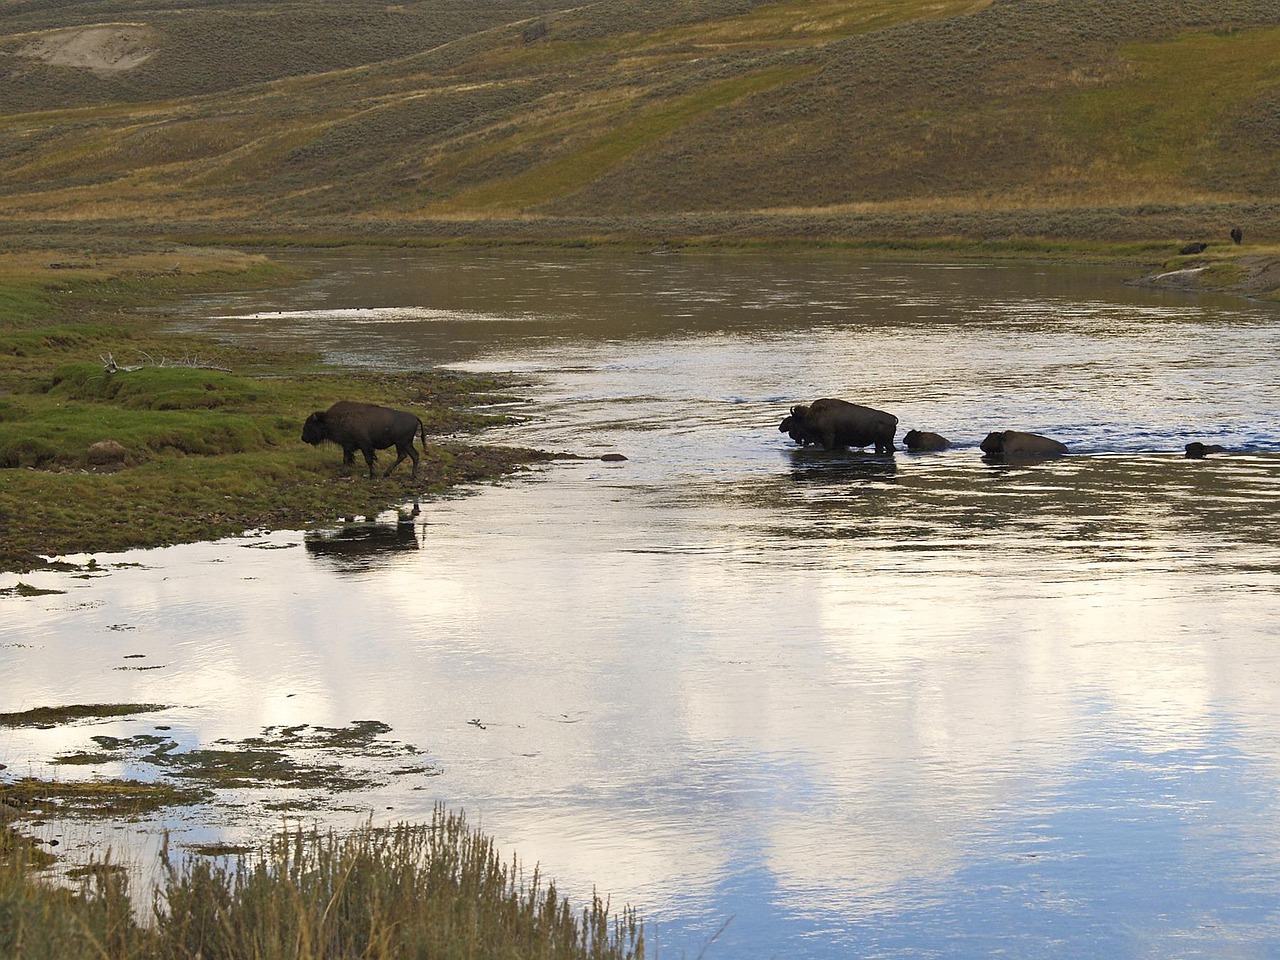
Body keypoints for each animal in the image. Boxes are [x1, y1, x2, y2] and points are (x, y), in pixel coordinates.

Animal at [300, 401, 430, 481]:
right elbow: (345, 459)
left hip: (401, 443)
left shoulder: (365, 446)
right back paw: (411, 475)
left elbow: (368, 460)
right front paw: (342, 473)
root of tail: (415, 417)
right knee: (413, 455)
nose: (303, 438)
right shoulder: (347, 446)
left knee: (404, 455)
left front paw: (372, 475)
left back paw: (388, 473)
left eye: (310, 424)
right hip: (406, 443)